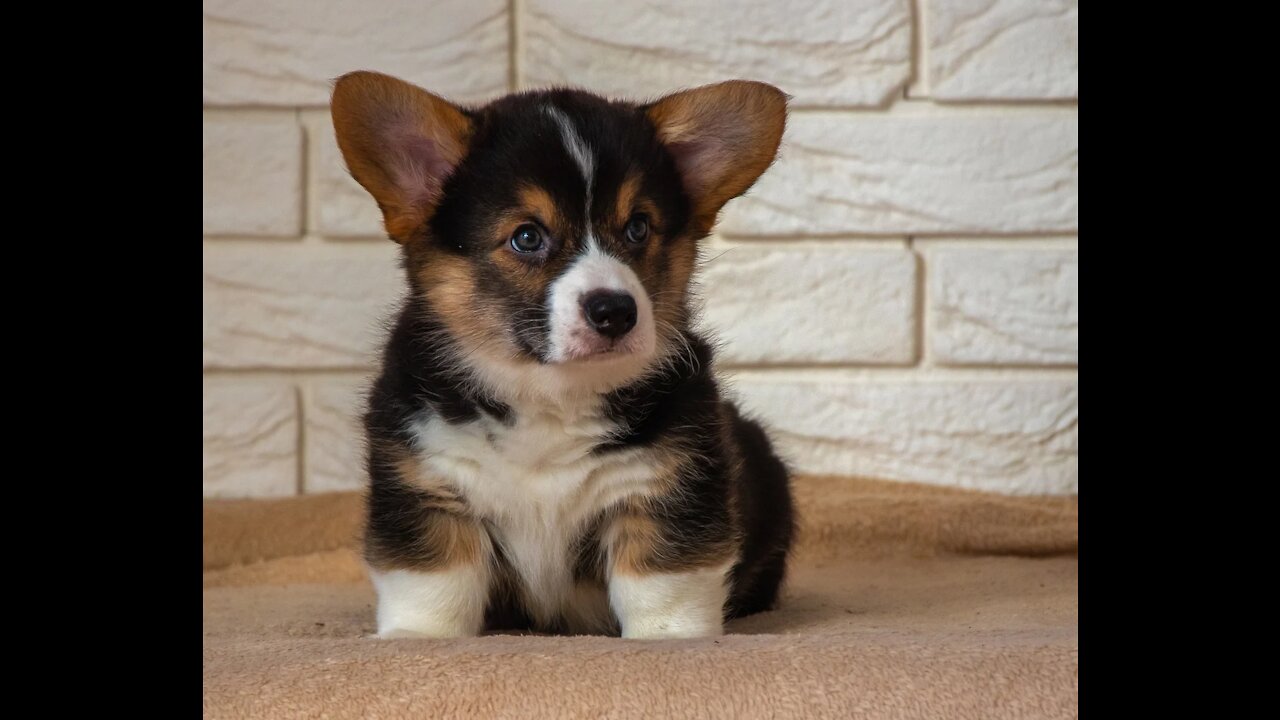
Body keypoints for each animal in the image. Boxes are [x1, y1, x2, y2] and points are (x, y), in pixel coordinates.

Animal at [330, 70, 788, 635]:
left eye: (638, 227)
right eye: (527, 237)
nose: (616, 311)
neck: (549, 393)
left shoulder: (669, 488)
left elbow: (662, 586)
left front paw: (673, 640)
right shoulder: (425, 486)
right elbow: (434, 583)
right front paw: (417, 637)